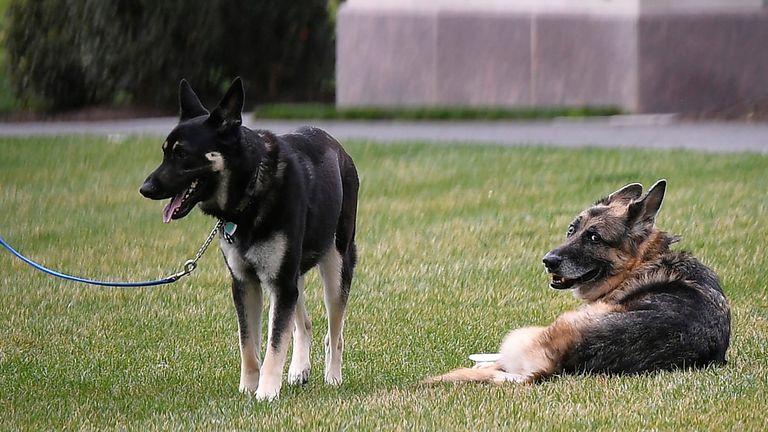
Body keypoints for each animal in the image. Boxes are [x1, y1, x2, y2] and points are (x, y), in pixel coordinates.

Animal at [140, 78, 358, 402]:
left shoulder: (279, 284)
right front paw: (247, 388)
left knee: (335, 332)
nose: (145, 188)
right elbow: (249, 345)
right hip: (293, 275)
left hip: (335, 265)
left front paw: (266, 393)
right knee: (304, 323)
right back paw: (299, 369)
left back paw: (333, 376)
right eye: (165, 152)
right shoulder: (246, 284)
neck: (251, 189)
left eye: (181, 154)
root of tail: (337, 147)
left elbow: (274, 344)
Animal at [426, 181, 732, 384]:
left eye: (594, 237)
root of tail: (556, 364)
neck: (643, 261)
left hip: (531, 331)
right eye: (572, 230)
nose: (548, 261)